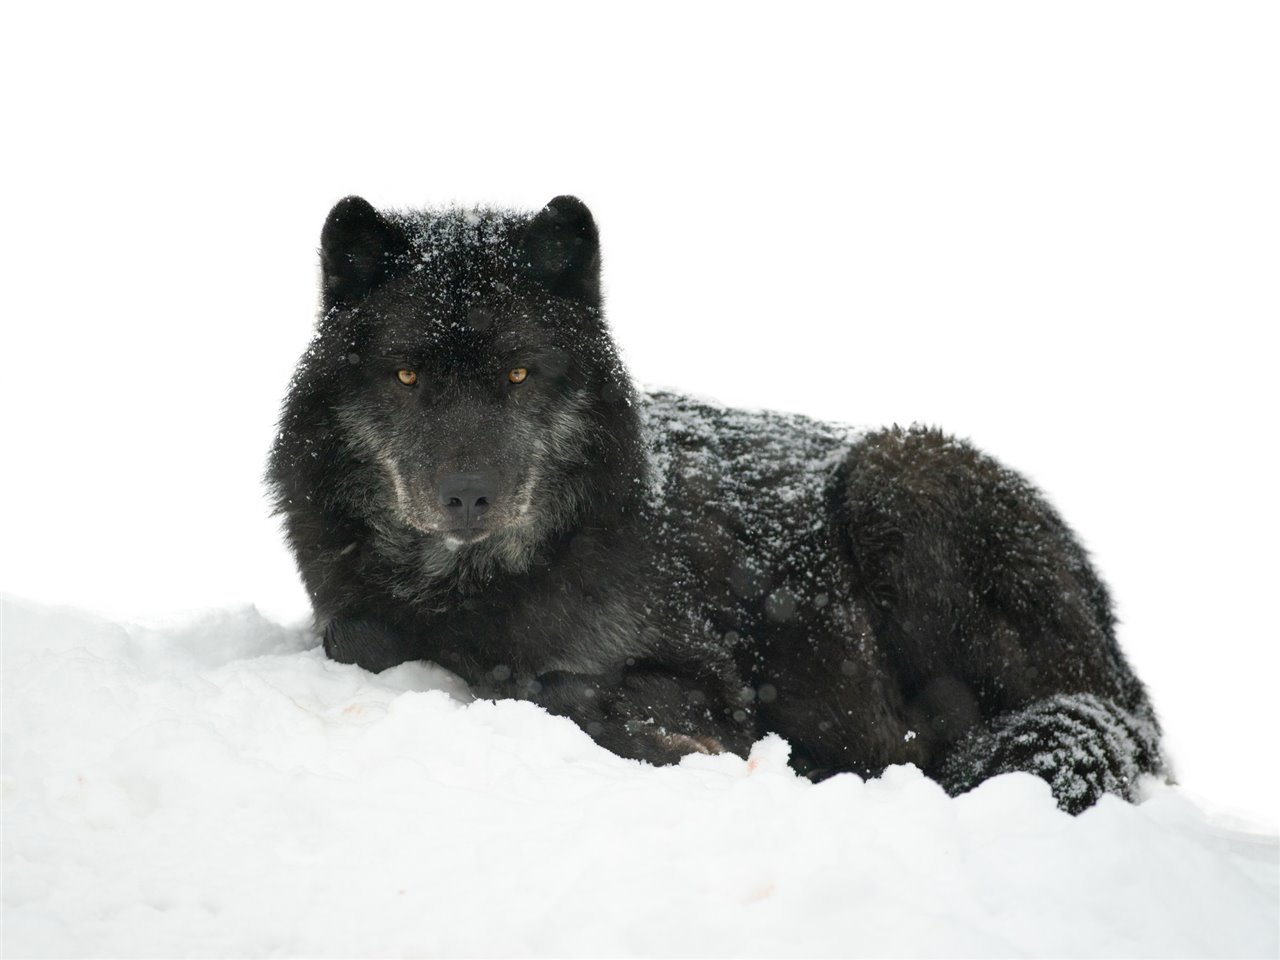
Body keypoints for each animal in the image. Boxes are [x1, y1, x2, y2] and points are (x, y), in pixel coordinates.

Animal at [268, 194, 1163, 813]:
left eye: (519, 374)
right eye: (406, 375)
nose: (467, 496)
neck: (476, 587)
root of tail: (1123, 676)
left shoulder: (712, 675)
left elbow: (564, 686)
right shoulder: (348, 608)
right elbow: (360, 634)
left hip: (900, 473)